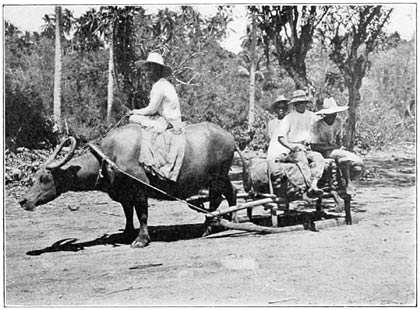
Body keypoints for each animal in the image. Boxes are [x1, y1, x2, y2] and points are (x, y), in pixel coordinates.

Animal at [19, 122, 240, 248]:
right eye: (35, 176)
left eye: (45, 178)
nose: (23, 200)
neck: (108, 158)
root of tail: (230, 136)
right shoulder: (123, 194)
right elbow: (128, 213)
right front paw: (127, 233)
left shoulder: (140, 189)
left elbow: (142, 214)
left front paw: (141, 239)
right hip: (221, 177)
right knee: (231, 192)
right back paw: (229, 218)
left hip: (216, 177)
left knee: (216, 198)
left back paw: (209, 226)